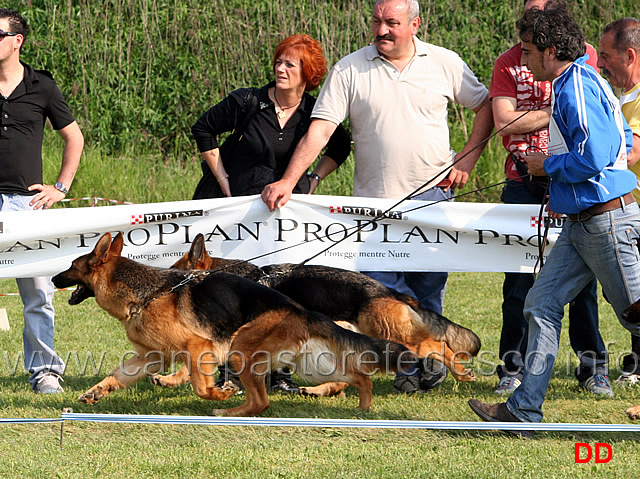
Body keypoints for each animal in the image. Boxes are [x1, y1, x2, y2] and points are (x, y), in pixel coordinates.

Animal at [52, 232, 418, 416]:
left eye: (70, 266)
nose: (54, 278)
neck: (146, 293)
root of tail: (300, 311)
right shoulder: (150, 357)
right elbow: (118, 375)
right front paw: (96, 392)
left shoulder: (198, 347)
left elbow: (199, 385)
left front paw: (218, 391)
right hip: (310, 363)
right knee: (356, 376)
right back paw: (363, 406)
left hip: (243, 350)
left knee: (263, 401)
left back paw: (229, 408)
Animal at [155, 233, 482, 398]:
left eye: (174, 275)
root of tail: (387, 291)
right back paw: (317, 390)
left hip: (389, 334)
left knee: (438, 346)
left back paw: (461, 372)